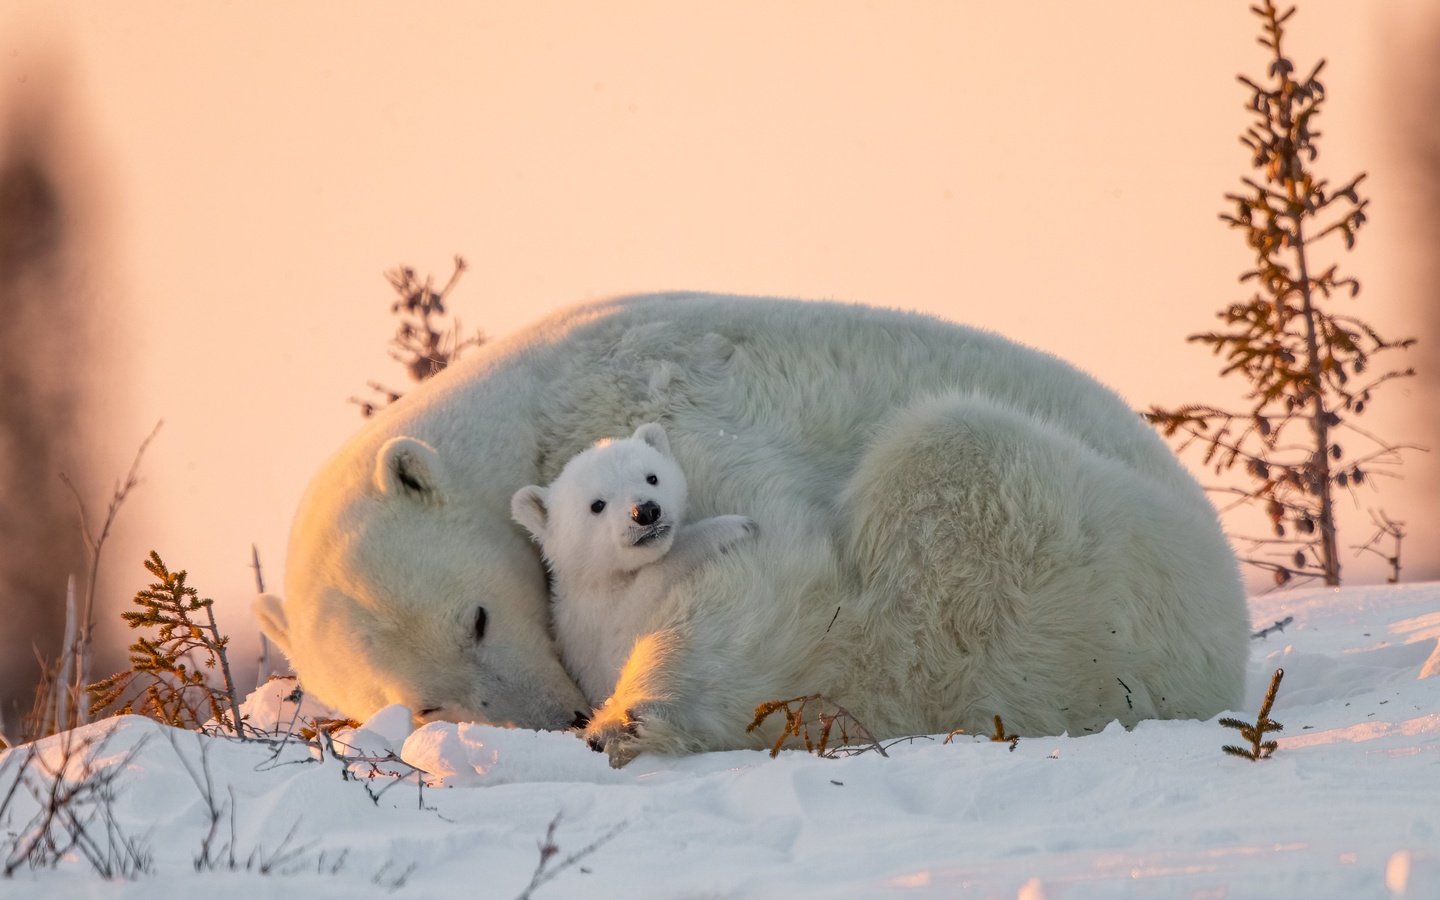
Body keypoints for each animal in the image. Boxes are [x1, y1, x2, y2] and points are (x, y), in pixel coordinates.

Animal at [262, 293, 1249, 760]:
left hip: (1105, 564)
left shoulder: (657, 393)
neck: (534, 399)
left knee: (946, 471)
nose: (555, 720)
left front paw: (635, 714)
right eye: (426, 703)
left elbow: (774, 561)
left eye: (476, 617)